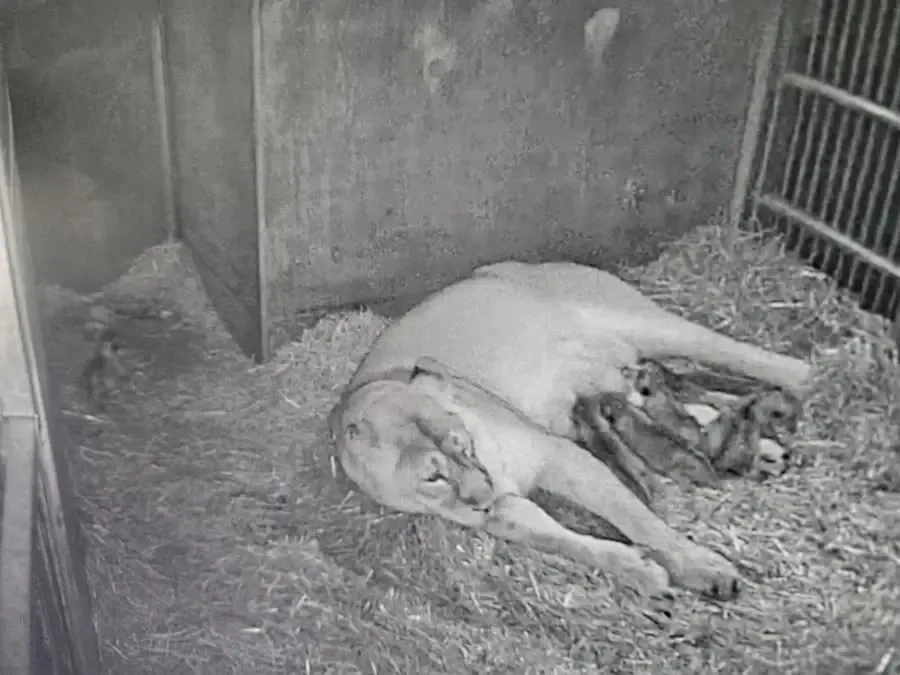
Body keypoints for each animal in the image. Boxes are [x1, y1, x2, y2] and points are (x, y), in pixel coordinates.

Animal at [331, 260, 811, 600]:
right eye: (433, 476)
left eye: (459, 442)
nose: (483, 491)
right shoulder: (503, 511)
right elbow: (566, 541)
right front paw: (640, 571)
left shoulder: (561, 455)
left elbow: (639, 519)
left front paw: (702, 567)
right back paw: (762, 447)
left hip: (641, 321)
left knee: (728, 350)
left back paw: (802, 375)